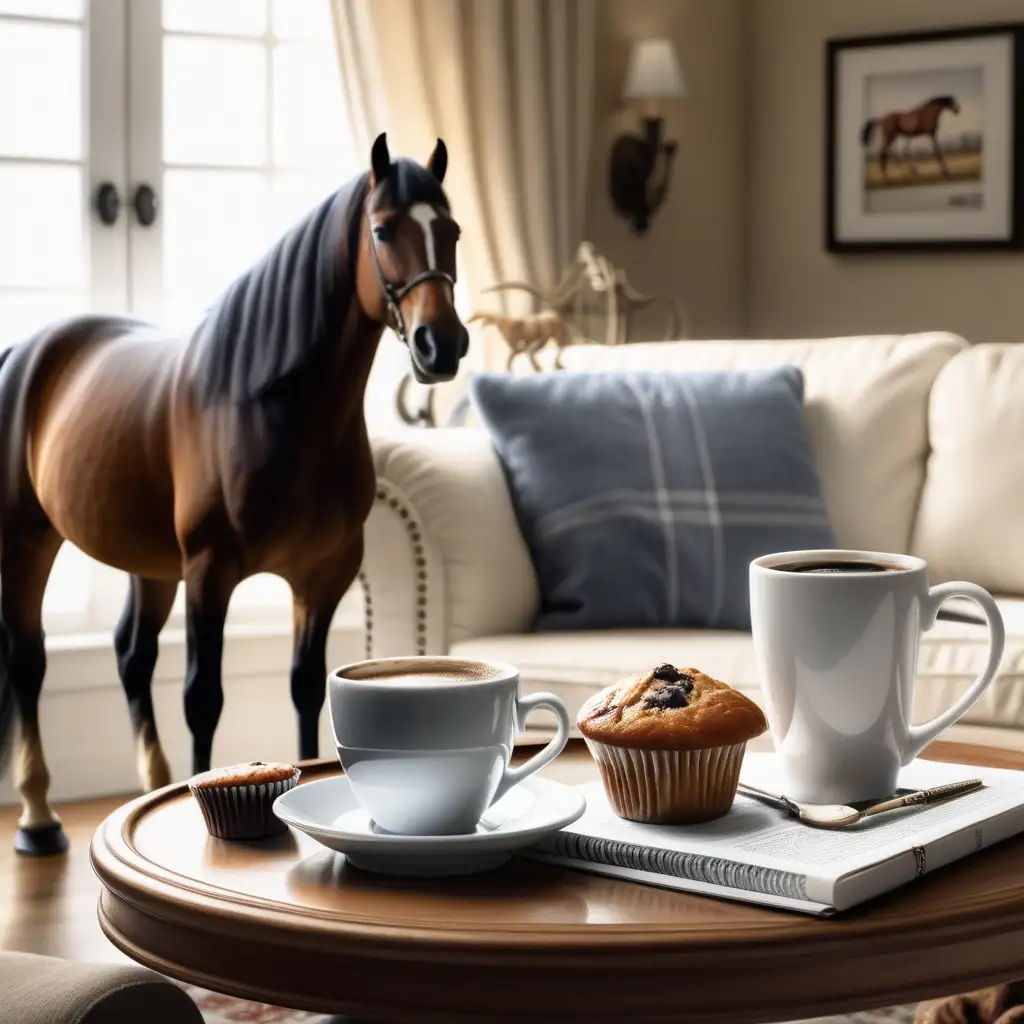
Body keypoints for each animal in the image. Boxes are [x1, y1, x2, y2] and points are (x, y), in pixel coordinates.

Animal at [0, 132, 468, 851]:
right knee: (28, 661)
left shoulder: (322, 578)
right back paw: (37, 817)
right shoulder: (209, 570)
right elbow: (203, 696)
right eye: (384, 229)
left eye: (452, 230)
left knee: (131, 657)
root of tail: (29, 351)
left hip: (149, 565)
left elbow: (305, 688)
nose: (441, 345)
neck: (271, 407)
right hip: (29, 540)